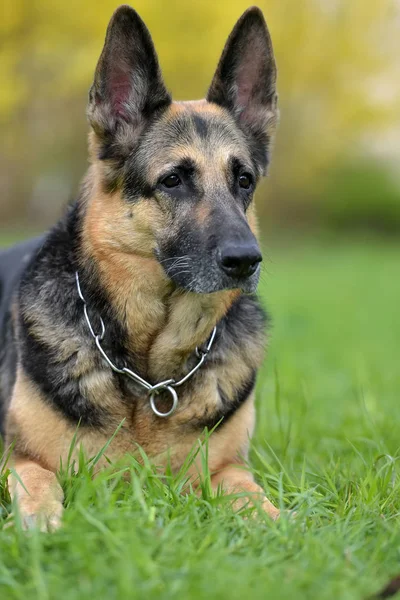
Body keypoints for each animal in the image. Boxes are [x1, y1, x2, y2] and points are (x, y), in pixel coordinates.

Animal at [0, 4, 280, 528]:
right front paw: (42, 524)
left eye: (244, 180)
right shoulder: (19, 458)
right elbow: (40, 481)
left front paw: (283, 526)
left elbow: (258, 502)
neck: (149, 376)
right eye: (172, 180)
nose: (246, 261)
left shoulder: (228, 470)